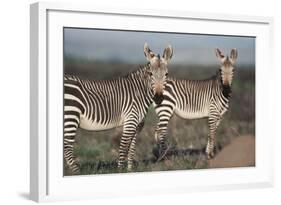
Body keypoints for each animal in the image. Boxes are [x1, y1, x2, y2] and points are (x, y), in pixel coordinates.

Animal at [63, 42, 173, 173]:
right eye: (150, 74)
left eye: (166, 74)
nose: (158, 98)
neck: (139, 93)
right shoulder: (130, 122)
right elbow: (123, 147)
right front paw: (120, 170)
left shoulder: (137, 125)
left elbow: (131, 149)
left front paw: (130, 170)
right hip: (71, 117)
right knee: (67, 148)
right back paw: (77, 172)